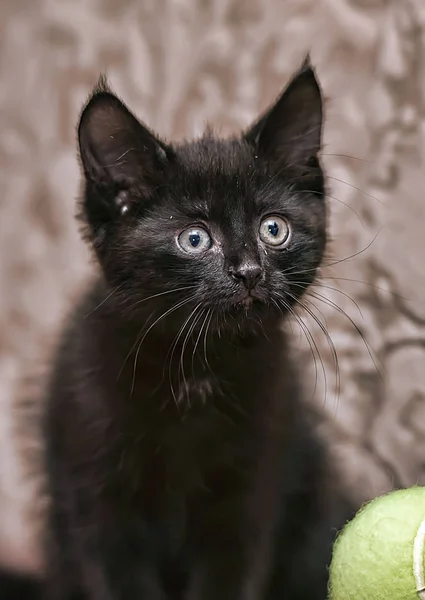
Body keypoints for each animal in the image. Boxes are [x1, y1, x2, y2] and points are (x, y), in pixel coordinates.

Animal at [41, 62, 350, 600]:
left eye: (274, 229)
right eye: (194, 239)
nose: (249, 271)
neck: (196, 369)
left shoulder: (252, 485)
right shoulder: (96, 499)